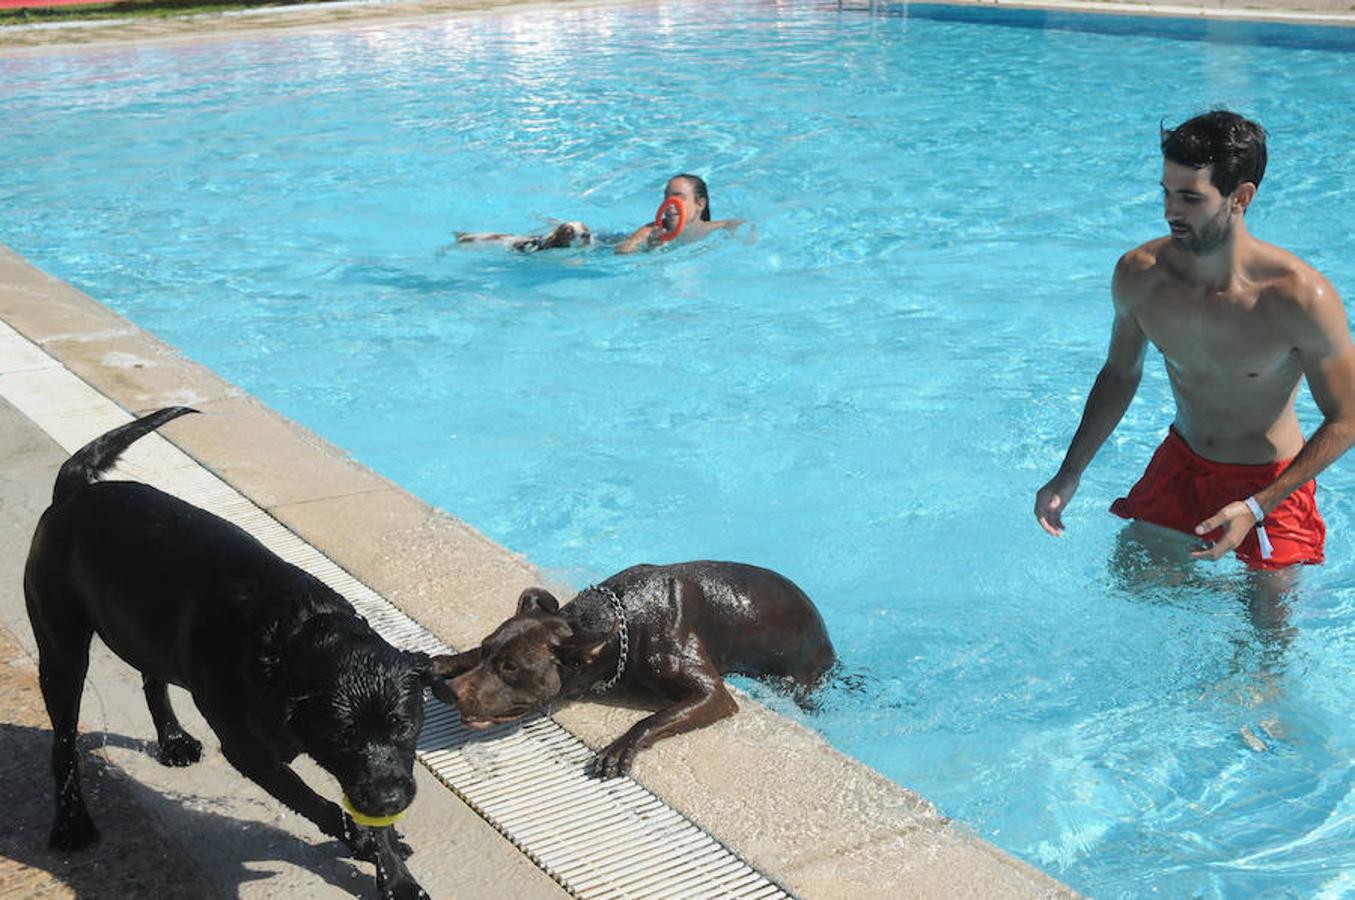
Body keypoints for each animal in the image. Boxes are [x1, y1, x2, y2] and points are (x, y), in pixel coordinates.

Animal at [25, 409, 439, 900]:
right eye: (341, 738)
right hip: (62, 651)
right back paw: (71, 822)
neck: (286, 638)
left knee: (152, 678)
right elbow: (316, 802)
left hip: (141, 627)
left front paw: (395, 874)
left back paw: (172, 739)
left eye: (404, 727)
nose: (391, 800)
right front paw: (362, 842)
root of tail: (73, 491)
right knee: (64, 742)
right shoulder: (249, 752)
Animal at [430, 558, 834, 775]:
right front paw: (450, 661)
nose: (451, 692)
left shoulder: (712, 694)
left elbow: (654, 717)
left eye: (511, 668)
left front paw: (621, 745)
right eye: (487, 651)